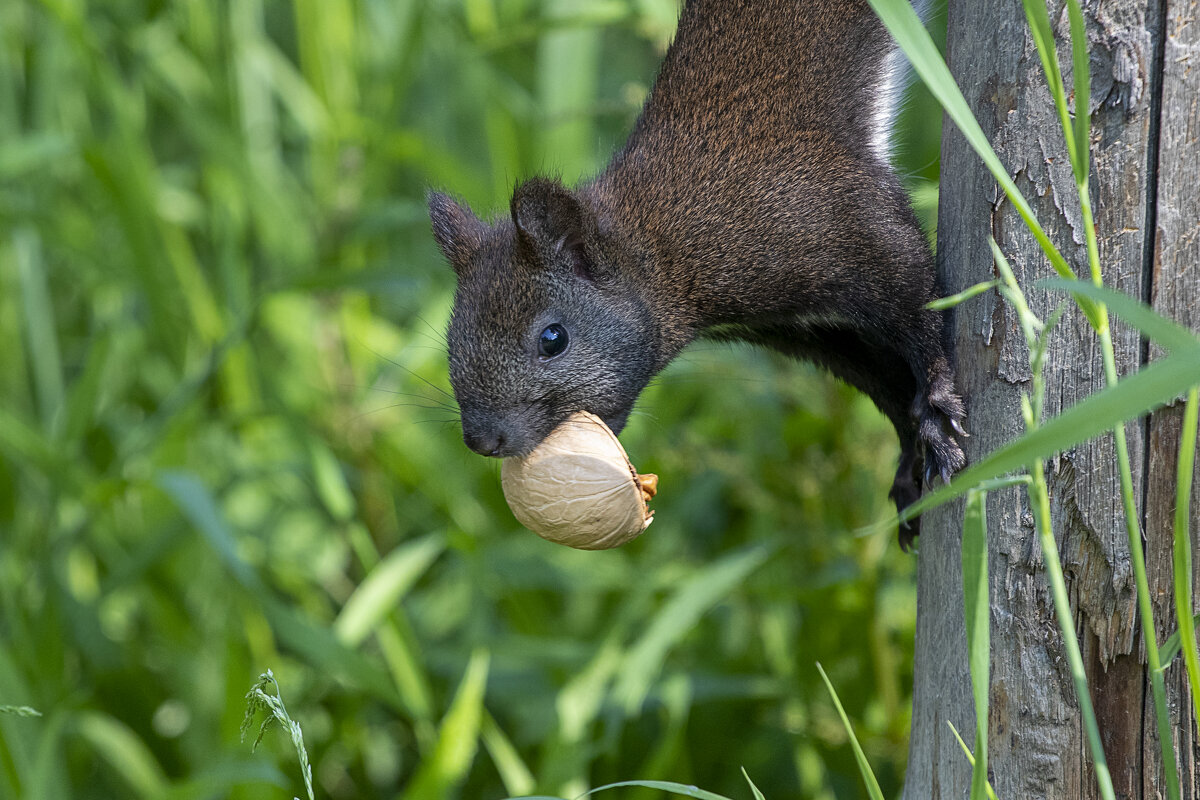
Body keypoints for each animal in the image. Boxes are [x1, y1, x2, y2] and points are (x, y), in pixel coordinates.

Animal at [429, 0, 964, 551]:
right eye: (452, 335)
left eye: (552, 338)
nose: (483, 440)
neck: (664, 251)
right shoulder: (812, 330)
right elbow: (888, 385)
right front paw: (908, 467)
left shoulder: (837, 219)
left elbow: (919, 301)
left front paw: (938, 408)